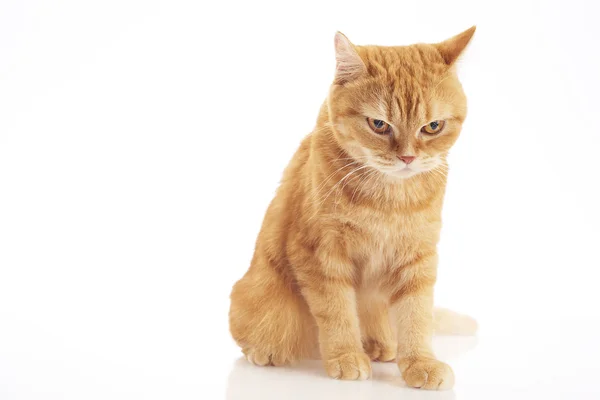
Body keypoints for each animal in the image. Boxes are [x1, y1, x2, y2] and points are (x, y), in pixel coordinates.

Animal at [230, 28, 478, 390]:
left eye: (433, 127)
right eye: (378, 124)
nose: (407, 157)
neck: (388, 198)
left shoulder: (418, 256)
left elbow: (417, 315)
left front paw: (420, 362)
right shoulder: (320, 254)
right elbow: (337, 311)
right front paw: (346, 356)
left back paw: (380, 346)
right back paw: (265, 352)